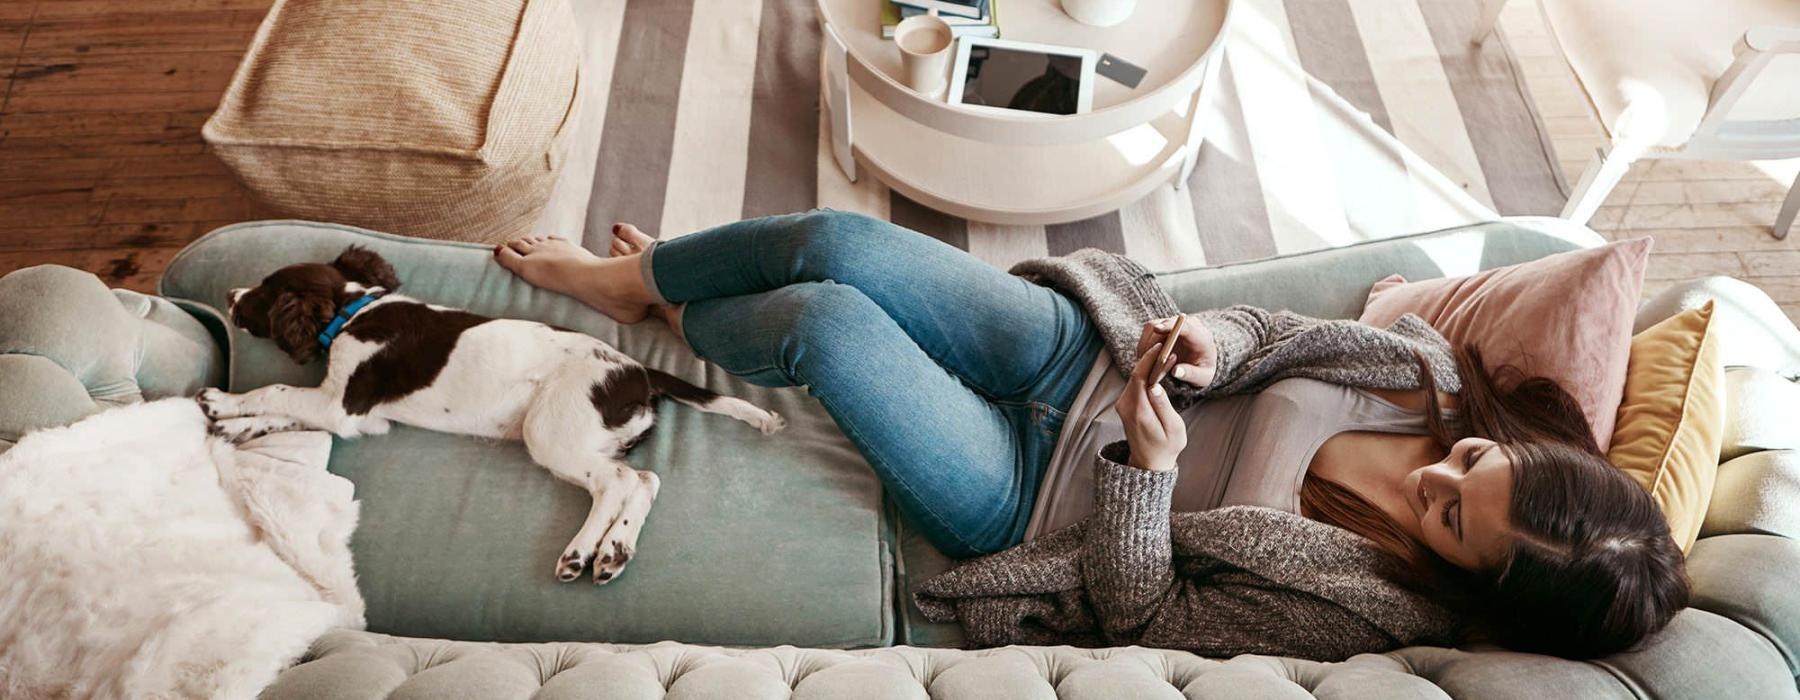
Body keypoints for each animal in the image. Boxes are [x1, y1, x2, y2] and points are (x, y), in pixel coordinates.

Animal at [200, 244, 784, 583]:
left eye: (262, 295)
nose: (228, 292)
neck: (353, 310)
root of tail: (638, 370)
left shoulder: (343, 405)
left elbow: (279, 389)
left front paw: (225, 403)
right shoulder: (356, 414)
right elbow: (284, 412)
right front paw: (235, 424)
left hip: (550, 430)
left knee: (617, 482)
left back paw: (582, 553)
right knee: (644, 479)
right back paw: (613, 551)